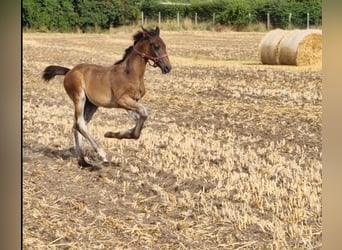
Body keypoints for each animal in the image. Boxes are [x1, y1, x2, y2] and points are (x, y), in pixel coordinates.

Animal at [42, 26, 171, 168]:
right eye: (156, 46)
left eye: (165, 45)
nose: (167, 67)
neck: (130, 74)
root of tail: (69, 71)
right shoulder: (122, 100)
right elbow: (143, 113)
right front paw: (114, 134)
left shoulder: (129, 102)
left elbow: (139, 119)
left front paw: (115, 134)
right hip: (79, 97)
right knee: (80, 123)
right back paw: (101, 154)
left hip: (92, 104)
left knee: (76, 126)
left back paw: (83, 162)